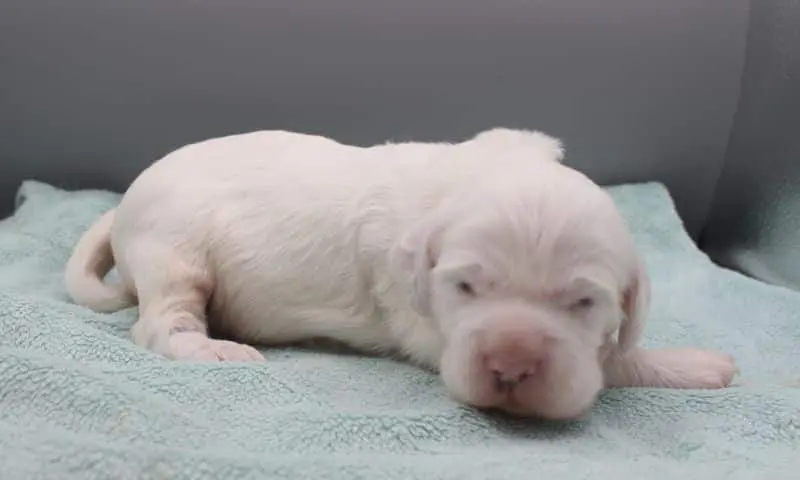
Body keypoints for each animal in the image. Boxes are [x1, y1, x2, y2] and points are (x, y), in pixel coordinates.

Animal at [65, 128, 737, 420]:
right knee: (160, 325)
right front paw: (701, 364)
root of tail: (122, 207)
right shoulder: (426, 329)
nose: (511, 367)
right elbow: (616, 363)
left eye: (583, 304)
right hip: (176, 254)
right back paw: (216, 351)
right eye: (465, 287)